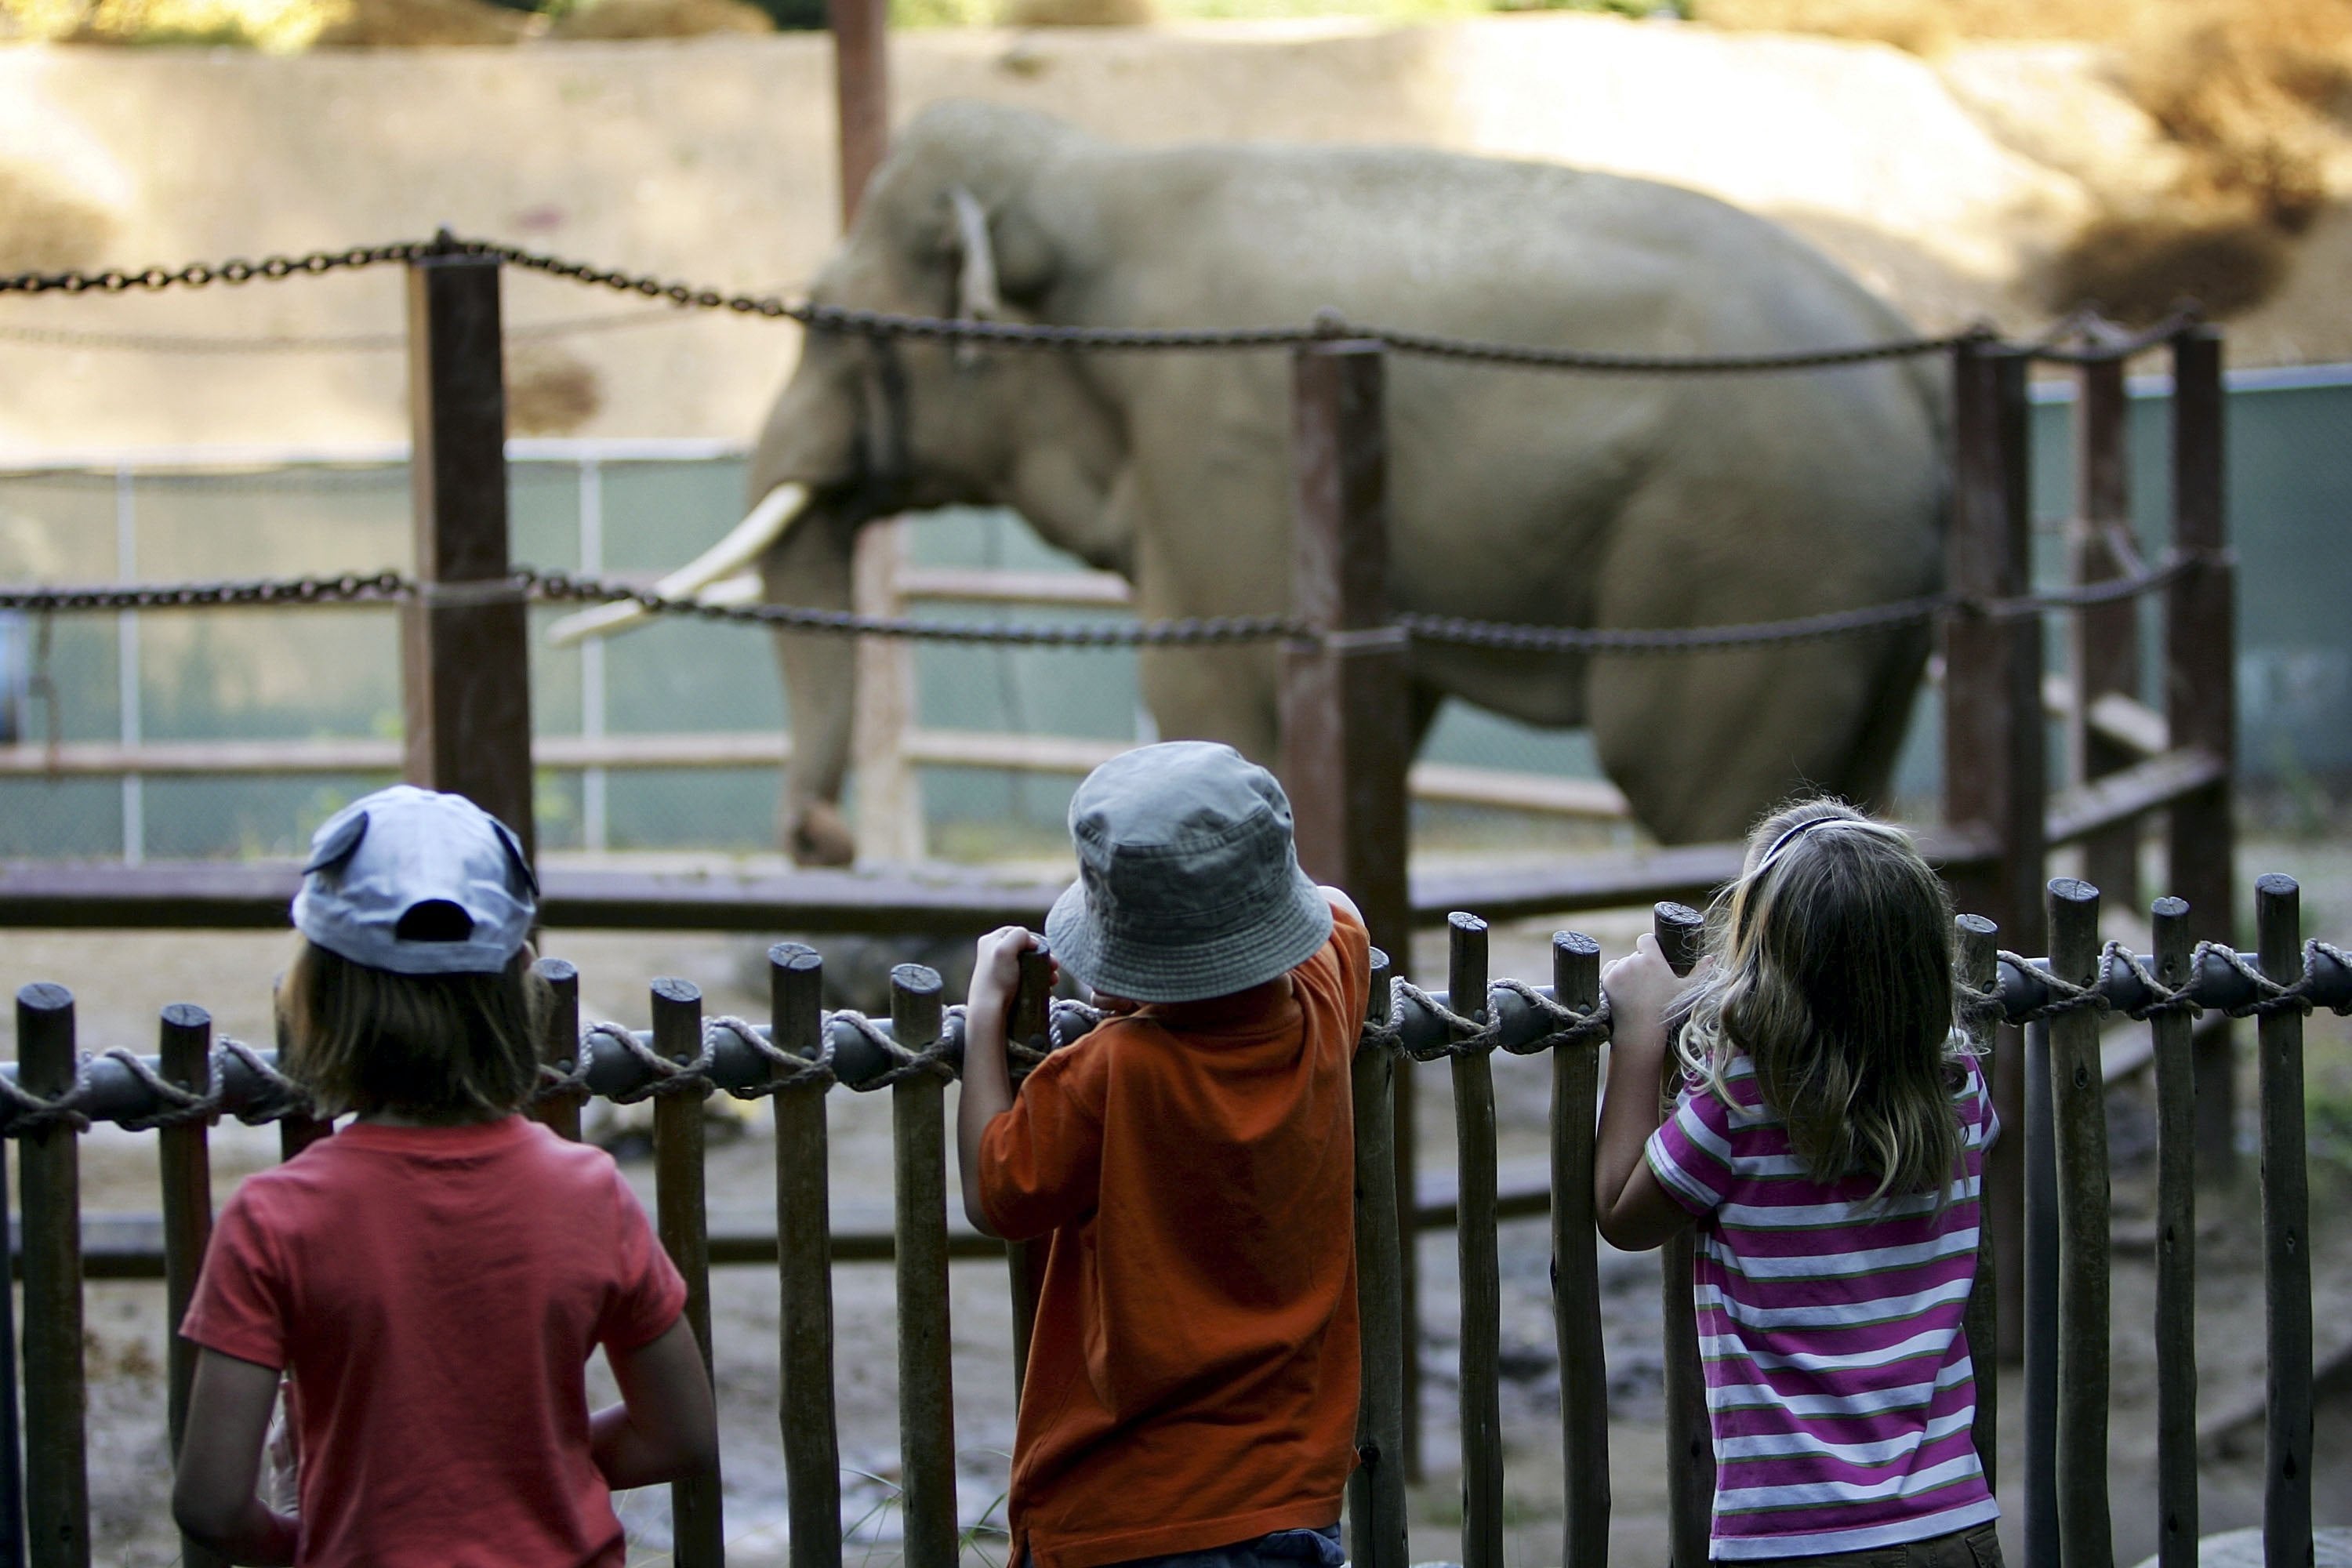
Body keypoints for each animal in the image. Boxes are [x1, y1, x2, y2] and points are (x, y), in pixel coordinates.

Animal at [553, 101, 1949, 866]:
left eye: (837, 325)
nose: (822, 840)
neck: (1093, 183)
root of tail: (1914, 367)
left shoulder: (1221, 446)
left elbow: (1209, 694)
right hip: (1864, 601)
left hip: (1754, 565)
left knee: (1688, 787)